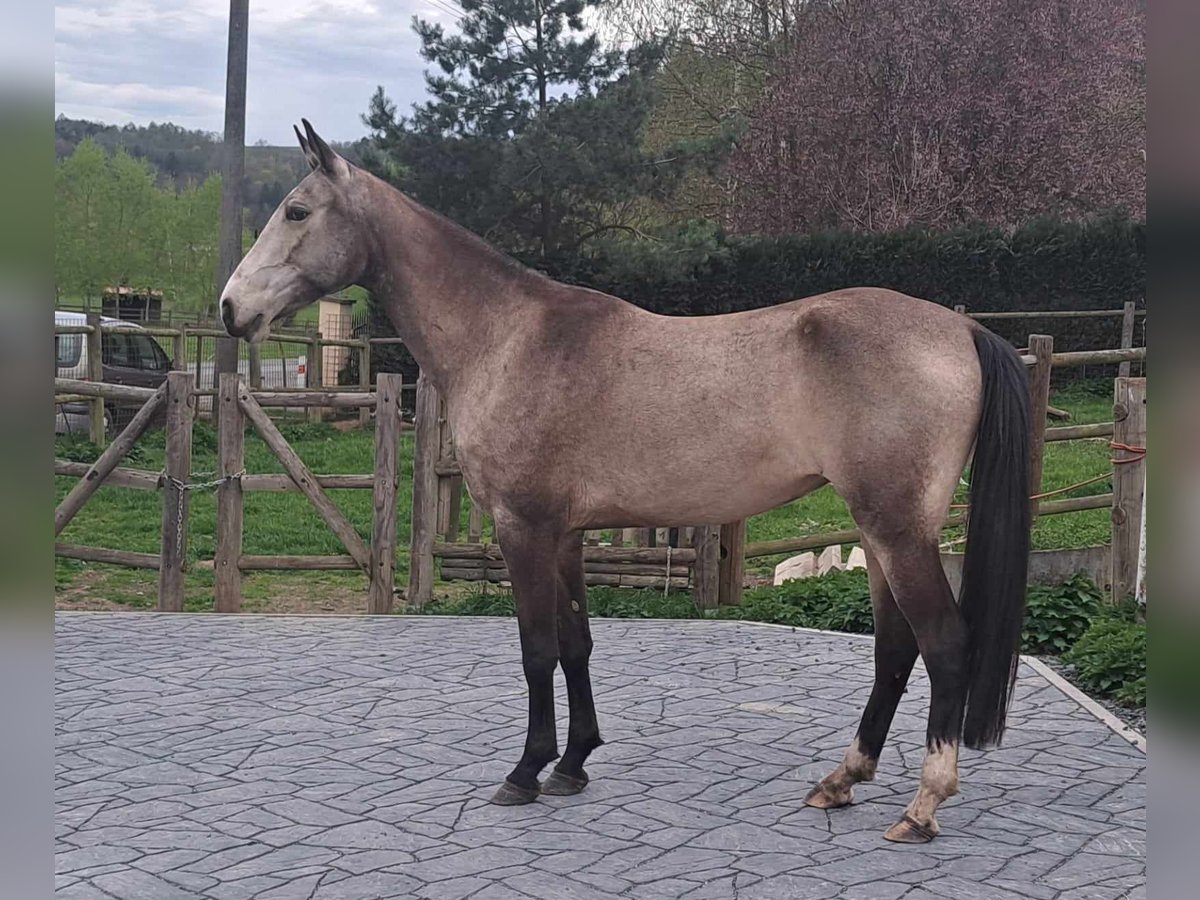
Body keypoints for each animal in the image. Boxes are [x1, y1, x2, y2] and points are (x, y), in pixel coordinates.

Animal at [223, 121, 1032, 844]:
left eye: (297, 211)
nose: (232, 309)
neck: (510, 337)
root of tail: (963, 330)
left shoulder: (523, 528)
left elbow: (536, 649)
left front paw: (525, 771)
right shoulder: (566, 535)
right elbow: (576, 643)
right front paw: (573, 764)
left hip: (896, 529)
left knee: (943, 643)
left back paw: (922, 807)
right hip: (880, 530)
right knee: (894, 648)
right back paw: (840, 782)